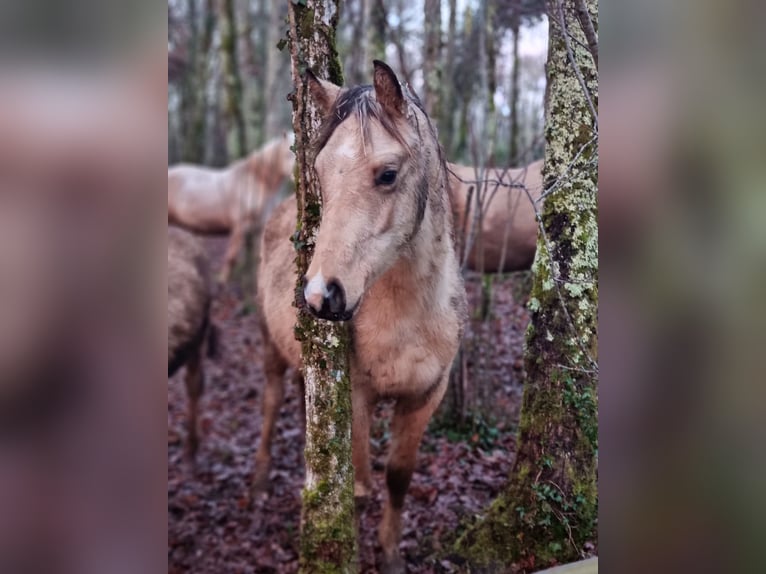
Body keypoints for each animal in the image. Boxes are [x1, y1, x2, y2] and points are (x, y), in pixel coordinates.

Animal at [167, 133, 295, 282]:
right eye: (288, 153)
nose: (296, 173)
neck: (254, 180)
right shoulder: (240, 225)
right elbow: (231, 258)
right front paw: (222, 281)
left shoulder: (258, 227)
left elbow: (259, 257)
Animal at [255, 61, 466, 573]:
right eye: (320, 173)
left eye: (387, 174)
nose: (319, 294)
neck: (409, 319)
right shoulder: (357, 396)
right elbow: (358, 488)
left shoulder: (425, 396)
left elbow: (398, 478)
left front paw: (390, 555)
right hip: (269, 350)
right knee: (270, 404)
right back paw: (259, 483)